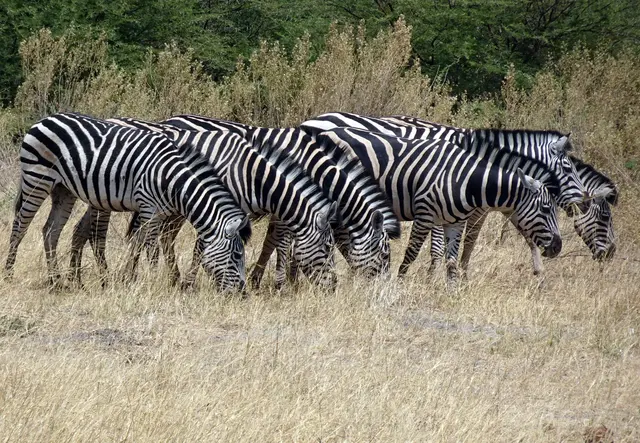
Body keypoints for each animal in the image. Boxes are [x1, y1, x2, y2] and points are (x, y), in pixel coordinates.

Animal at [5, 113, 250, 291]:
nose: (242, 292)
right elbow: (151, 249)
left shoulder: (154, 211)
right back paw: (8, 275)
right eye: (237, 255)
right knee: (20, 226)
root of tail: (45, 119)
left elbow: (137, 243)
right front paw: (153, 283)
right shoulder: (149, 208)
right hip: (36, 179)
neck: (170, 178)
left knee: (50, 231)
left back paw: (56, 281)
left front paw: (130, 279)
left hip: (63, 190)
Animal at [71, 117, 339, 289]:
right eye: (328, 248)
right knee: (99, 232)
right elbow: (203, 248)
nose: (334, 287)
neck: (252, 175)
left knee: (90, 230)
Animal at [162, 115, 402, 284]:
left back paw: (173, 276)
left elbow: (273, 241)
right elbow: (282, 242)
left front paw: (270, 279)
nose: (382, 292)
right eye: (384, 255)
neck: (308, 164)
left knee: (166, 236)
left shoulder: (285, 205)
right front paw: (284, 282)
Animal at [300, 112, 589, 275]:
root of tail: (311, 121)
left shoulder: (477, 210)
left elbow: (468, 244)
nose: (584, 202)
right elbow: (440, 248)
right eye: (567, 168)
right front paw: (436, 279)